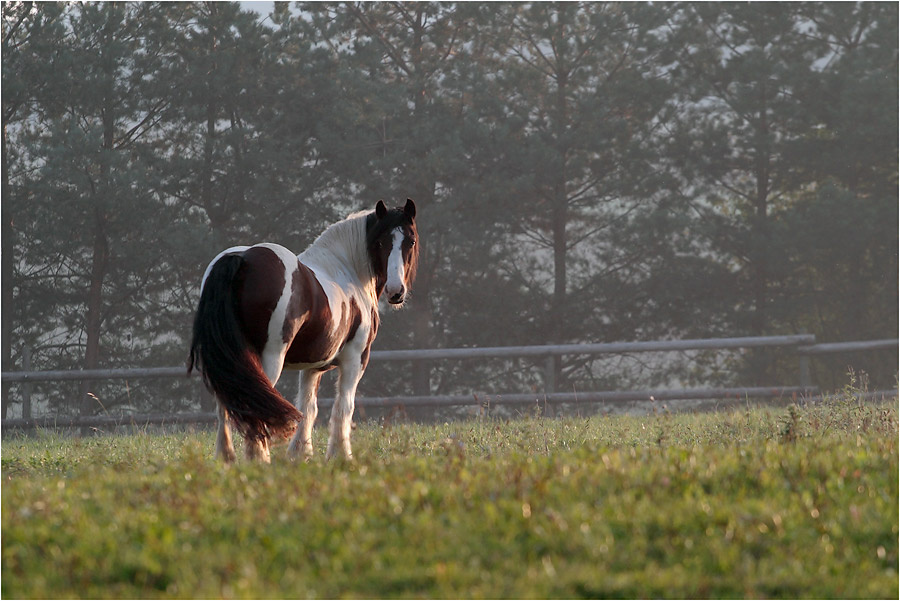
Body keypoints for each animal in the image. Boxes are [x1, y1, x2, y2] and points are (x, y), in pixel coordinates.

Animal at [187, 199, 419, 463]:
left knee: (226, 401)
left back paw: (226, 457)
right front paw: (341, 455)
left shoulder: (312, 366)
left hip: (228, 356)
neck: (346, 268)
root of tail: (242, 259)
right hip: (269, 359)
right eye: (380, 242)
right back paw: (259, 458)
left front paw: (300, 453)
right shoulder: (356, 358)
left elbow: (308, 405)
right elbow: (344, 406)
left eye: (410, 241)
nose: (396, 291)